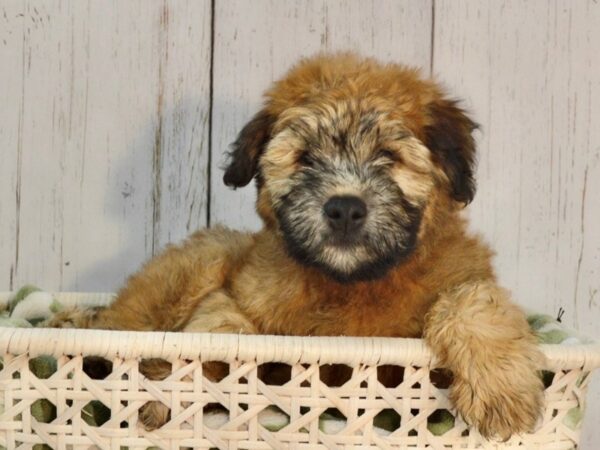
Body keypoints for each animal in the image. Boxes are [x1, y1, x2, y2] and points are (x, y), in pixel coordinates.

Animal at [51, 53, 544, 440]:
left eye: (388, 156)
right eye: (305, 158)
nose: (344, 208)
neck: (350, 284)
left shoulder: (461, 281)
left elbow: (474, 302)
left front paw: (503, 393)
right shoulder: (236, 293)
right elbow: (220, 327)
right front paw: (173, 388)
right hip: (203, 257)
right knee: (122, 324)